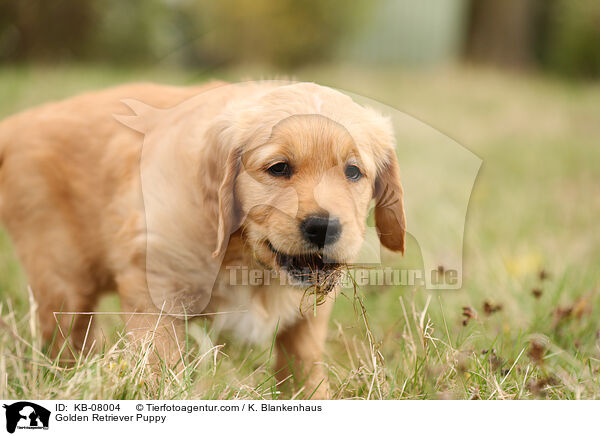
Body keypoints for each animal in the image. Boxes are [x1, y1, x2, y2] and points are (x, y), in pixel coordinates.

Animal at [0, 82, 406, 398]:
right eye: (279, 168)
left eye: (353, 172)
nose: (324, 227)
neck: (248, 259)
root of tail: (18, 123)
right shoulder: (156, 289)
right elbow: (161, 363)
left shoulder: (309, 313)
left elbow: (304, 362)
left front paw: (310, 396)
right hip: (63, 281)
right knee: (64, 339)